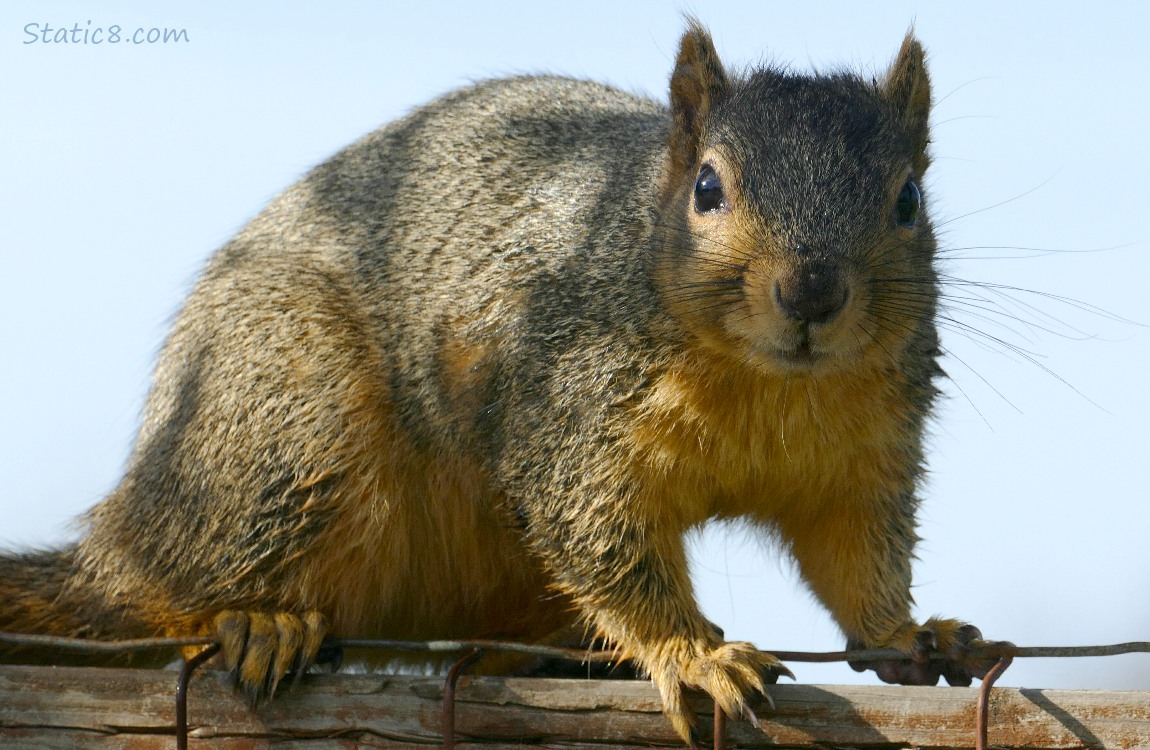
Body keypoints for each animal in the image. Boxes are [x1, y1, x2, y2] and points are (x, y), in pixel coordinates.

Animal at [1, 22, 993, 742]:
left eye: (909, 200)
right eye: (706, 188)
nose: (811, 292)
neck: (770, 384)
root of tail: (124, 535)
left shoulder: (864, 459)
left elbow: (857, 561)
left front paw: (911, 636)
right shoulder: (570, 408)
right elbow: (603, 538)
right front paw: (692, 652)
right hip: (286, 419)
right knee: (184, 590)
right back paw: (258, 619)